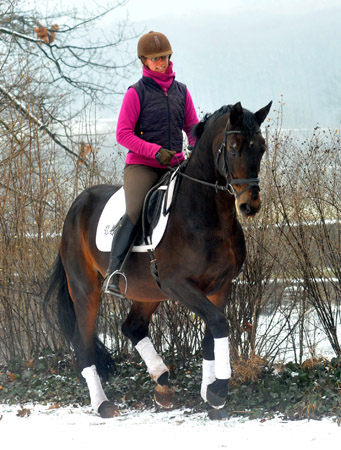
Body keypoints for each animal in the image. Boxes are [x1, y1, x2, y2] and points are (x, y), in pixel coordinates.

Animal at [43, 100, 270, 416]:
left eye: (261, 148)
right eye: (234, 148)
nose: (250, 204)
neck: (206, 216)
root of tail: (76, 205)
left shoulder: (220, 287)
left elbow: (212, 333)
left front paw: (210, 394)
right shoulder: (179, 285)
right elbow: (219, 323)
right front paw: (218, 391)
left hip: (146, 290)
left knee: (132, 327)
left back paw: (161, 379)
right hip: (86, 290)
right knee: (83, 341)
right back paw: (102, 403)